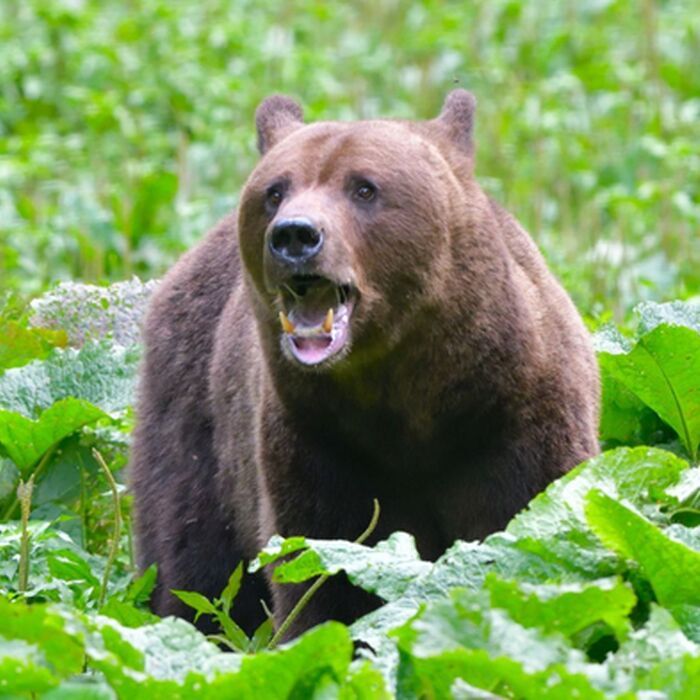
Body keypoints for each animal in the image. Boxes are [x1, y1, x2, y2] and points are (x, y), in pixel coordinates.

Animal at [130, 90, 600, 639]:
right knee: (193, 564)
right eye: (274, 191)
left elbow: (528, 530)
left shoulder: (517, 419)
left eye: (364, 187)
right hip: (196, 425)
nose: (295, 235)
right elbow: (325, 579)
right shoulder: (318, 444)